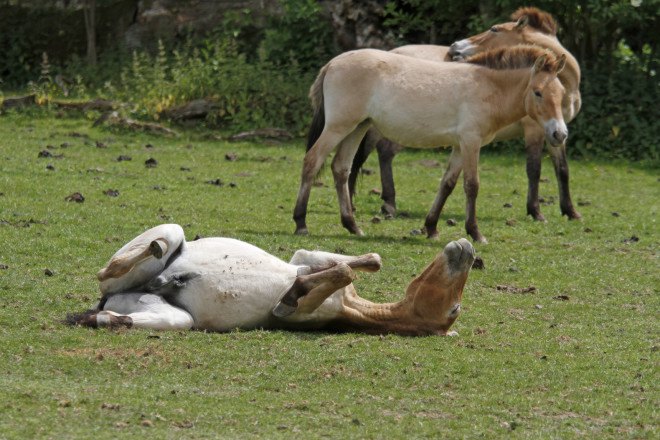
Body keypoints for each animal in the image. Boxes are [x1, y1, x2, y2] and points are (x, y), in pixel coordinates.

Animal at [67, 224, 475, 336]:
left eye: (453, 309)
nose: (467, 248)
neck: (348, 305)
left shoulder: (301, 315)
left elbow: (341, 271)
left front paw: (292, 294)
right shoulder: (305, 259)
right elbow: (364, 262)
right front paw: (295, 289)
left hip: (171, 316)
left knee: (122, 314)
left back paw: (101, 316)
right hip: (168, 234)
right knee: (110, 270)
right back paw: (161, 259)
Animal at [293, 45, 567, 243]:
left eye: (562, 93)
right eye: (538, 92)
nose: (560, 134)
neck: (487, 87)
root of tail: (332, 64)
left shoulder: (459, 146)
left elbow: (447, 184)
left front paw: (431, 227)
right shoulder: (471, 142)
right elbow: (472, 186)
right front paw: (475, 233)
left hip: (357, 128)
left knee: (341, 168)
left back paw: (352, 226)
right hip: (338, 127)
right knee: (312, 161)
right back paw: (301, 223)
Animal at [345, 7, 582, 224]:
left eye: (494, 29)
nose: (454, 48)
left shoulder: (555, 131)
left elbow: (563, 169)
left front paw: (571, 212)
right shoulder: (534, 129)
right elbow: (534, 169)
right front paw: (536, 212)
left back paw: (382, 203)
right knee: (372, 154)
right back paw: (383, 204)